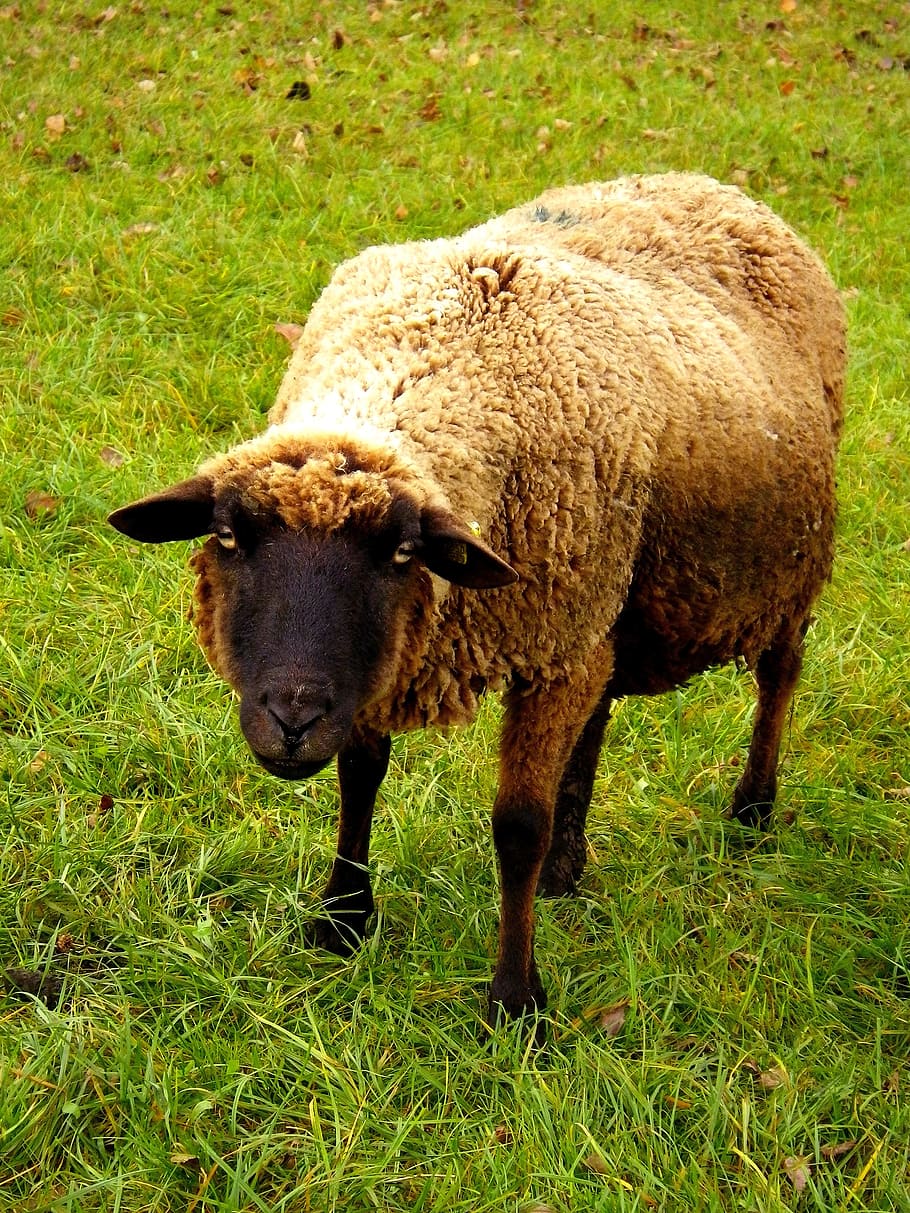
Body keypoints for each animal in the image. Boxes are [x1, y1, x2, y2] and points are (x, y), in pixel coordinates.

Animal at [109, 172, 846, 1029]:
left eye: (400, 553)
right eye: (228, 536)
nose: (292, 720)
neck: (426, 357)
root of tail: (713, 186)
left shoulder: (511, 643)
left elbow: (516, 826)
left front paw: (515, 1000)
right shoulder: (394, 657)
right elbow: (360, 773)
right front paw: (343, 917)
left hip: (776, 568)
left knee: (780, 674)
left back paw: (753, 808)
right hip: (598, 607)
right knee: (599, 709)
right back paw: (568, 863)